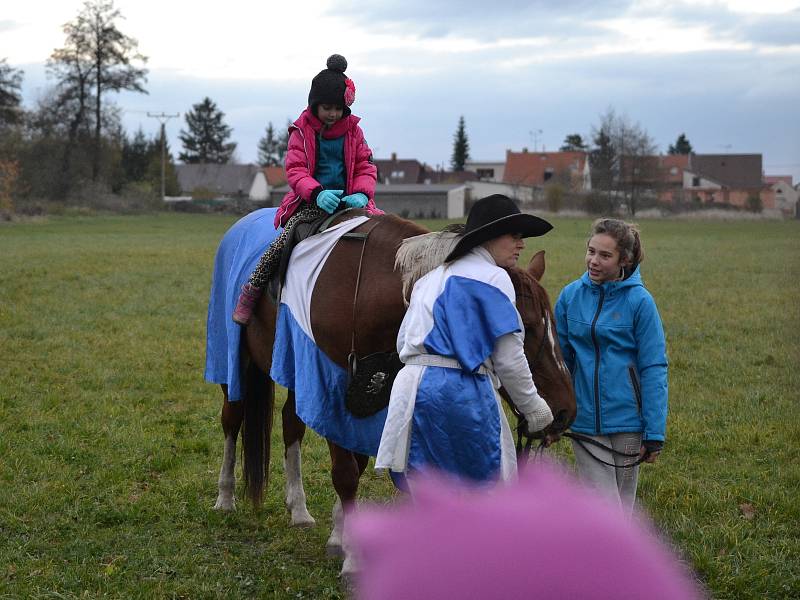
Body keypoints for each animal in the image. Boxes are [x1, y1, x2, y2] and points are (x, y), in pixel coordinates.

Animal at [209, 209, 576, 576]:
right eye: (525, 327)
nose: (564, 411)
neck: (365, 287)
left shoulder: (369, 396)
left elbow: (357, 464)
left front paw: (340, 537)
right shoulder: (331, 385)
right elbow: (345, 473)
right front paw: (352, 558)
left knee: (290, 424)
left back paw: (298, 508)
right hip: (235, 361)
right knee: (233, 418)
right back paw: (225, 497)